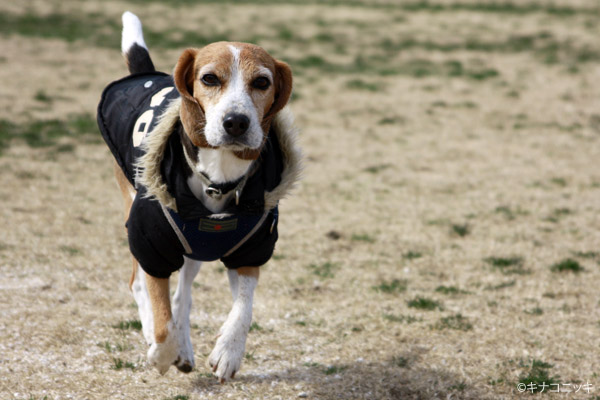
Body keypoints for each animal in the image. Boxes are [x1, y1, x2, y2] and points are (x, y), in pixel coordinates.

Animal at [96, 11, 302, 382]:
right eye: (209, 78)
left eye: (262, 82)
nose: (236, 122)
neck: (218, 179)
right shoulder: (153, 248)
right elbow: (161, 318)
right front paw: (162, 352)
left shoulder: (250, 250)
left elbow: (244, 308)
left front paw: (229, 352)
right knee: (140, 286)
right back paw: (157, 337)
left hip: (194, 247)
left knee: (183, 296)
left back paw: (186, 347)